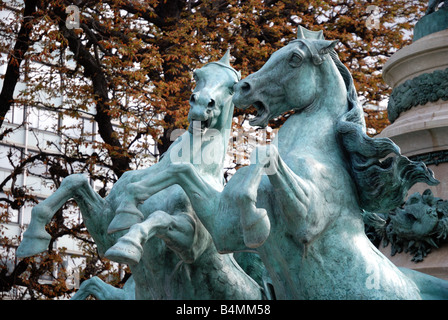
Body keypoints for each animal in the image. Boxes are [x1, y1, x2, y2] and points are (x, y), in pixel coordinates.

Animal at [117, 27, 448, 300]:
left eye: (294, 59)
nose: (243, 88)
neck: (314, 151)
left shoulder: (309, 221)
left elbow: (263, 156)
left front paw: (255, 220)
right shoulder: (224, 229)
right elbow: (182, 169)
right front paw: (125, 217)